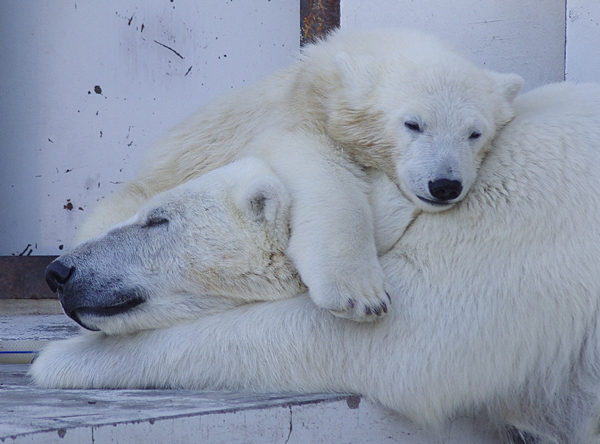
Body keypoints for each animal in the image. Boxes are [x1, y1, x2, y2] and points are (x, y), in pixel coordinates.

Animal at [75, 27, 524, 320]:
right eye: (413, 124)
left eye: (474, 133)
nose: (444, 185)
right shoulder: (294, 117)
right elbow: (320, 174)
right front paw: (360, 293)